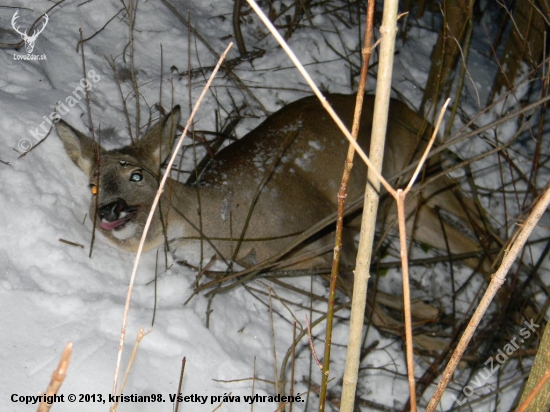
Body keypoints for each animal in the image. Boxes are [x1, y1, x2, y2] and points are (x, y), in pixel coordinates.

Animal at [56, 95, 492, 276]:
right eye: (93, 186)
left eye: (138, 175)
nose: (109, 209)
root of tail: (412, 110)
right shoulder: (299, 260)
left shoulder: (330, 230)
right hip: (414, 200)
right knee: (463, 240)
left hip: (420, 164)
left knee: (474, 214)